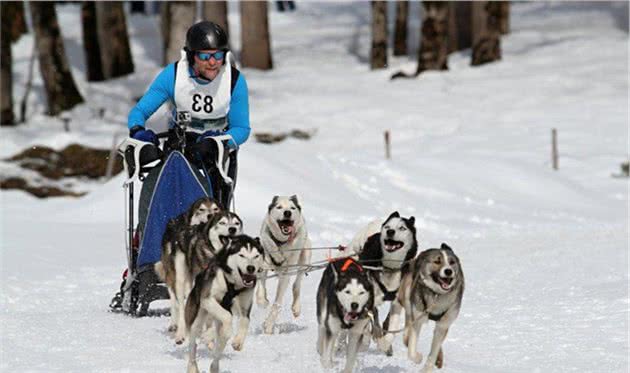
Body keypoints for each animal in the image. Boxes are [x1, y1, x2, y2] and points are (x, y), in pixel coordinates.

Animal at [184, 235, 266, 372]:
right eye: (241, 255)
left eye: (256, 256)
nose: (251, 268)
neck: (233, 285)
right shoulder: (207, 299)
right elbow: (227, 316)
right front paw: (225, 331)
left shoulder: (245, 307)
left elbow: (245, 321)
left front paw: (238, 341)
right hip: (197, 318)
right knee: (193, 345)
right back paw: (193, 366)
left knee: (218, 348)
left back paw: (214, 362)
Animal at [258, 193, 312, 332]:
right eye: (279, 207)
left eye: (292, 208)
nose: (287, 212)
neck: (281, 243)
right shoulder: (263, 264)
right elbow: (260, 288)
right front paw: (262, 301)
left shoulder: (285, 276)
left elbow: (277, 303)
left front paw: (269, 325)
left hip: (304, 259)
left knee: (296, 284)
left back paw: (296, 307)